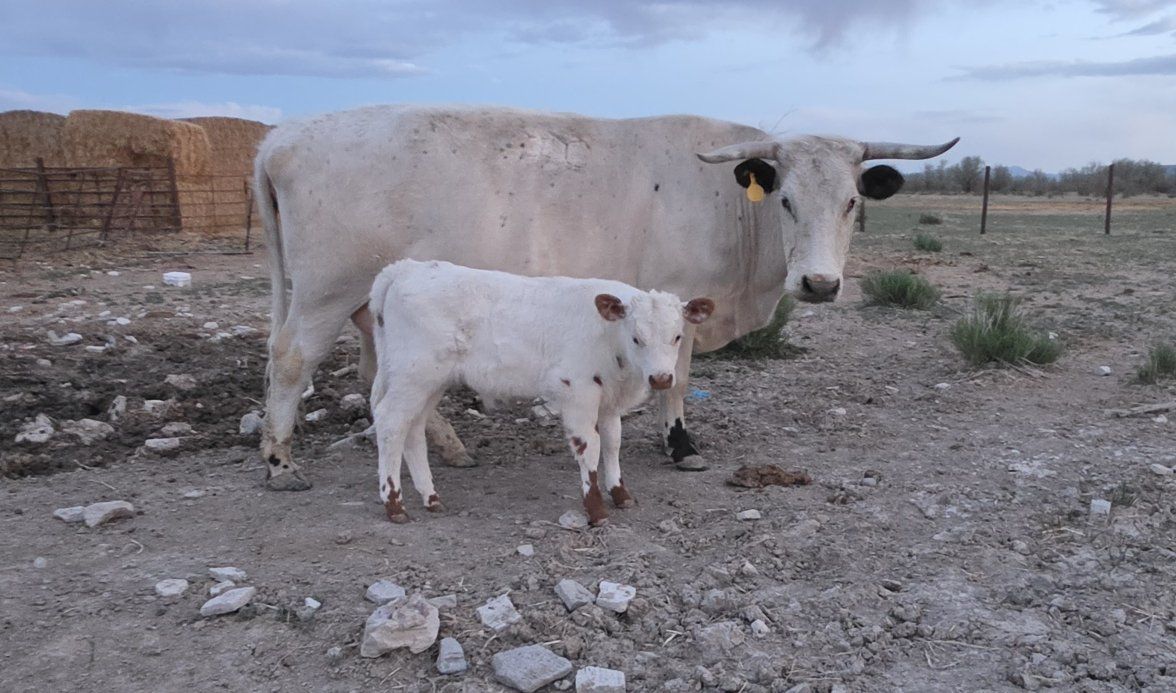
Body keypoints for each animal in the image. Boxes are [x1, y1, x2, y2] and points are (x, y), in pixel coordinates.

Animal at [254, 104, 957, 490]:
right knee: (290, 360)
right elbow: (677, 381)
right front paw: (682, 446)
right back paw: (280, 461)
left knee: (384, 377)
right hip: (324, 290)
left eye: (852, 202)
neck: (733, 207)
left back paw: (450, 448)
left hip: (375, 306)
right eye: (784, 199)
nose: (818, 283)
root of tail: (282, 138)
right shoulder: (678, 302)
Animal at [367, 259, 714, 525]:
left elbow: (613, 441)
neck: (609, 339)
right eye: (637, 338)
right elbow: (590, 446)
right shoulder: (578, 392)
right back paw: (395, 505)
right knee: (391, 423)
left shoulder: (609, 399)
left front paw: (621, 494)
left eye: (678, 336)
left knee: (413, 429)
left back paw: (431, 498)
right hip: (413, 374)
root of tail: (407, 268)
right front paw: (596, 510)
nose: (661, 378)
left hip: (430, 382)